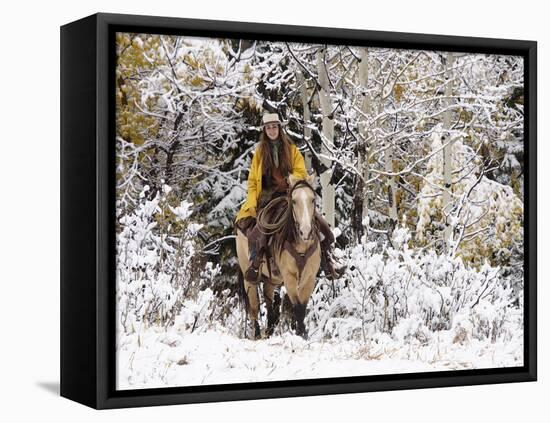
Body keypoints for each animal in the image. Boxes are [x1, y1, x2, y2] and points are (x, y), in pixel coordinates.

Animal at [235, 174, 322, 340]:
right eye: (294, 201)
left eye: (313, 199)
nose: (306, 232)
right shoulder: (289, 277)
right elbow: (297, 306)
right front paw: (300, 334)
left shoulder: (309, 278)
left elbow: (302, 307)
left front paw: (303, 334)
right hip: (248, 279)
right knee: (254, 308)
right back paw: (257, 334)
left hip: (271, 280)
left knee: (270, 306)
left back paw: (269, 329)